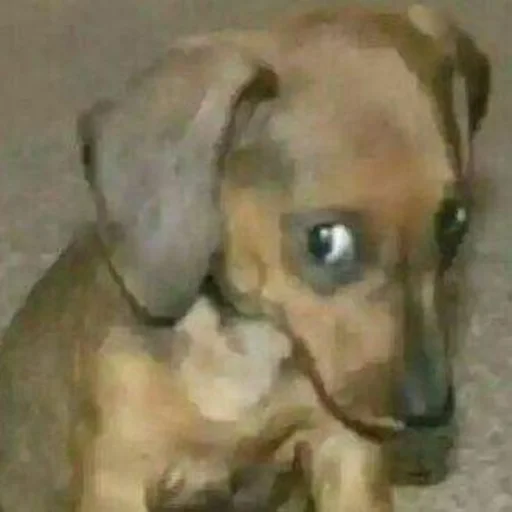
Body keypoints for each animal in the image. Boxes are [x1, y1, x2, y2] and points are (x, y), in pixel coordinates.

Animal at [0, 4, 490, 511]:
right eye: (326, 241)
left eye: (455, 222)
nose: (431, 412)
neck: (248, 351)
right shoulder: (119, 476)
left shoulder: (342, 448)